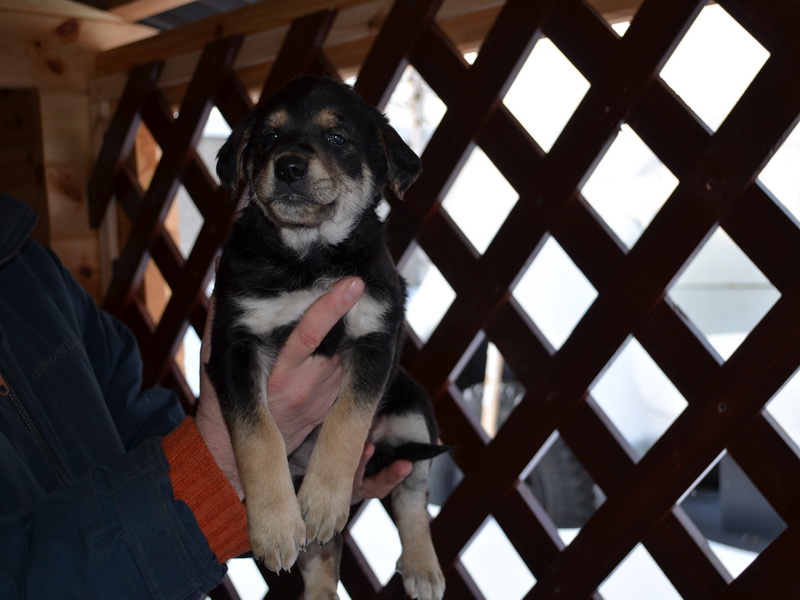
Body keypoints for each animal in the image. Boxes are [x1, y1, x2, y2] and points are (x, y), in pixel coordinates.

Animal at [207, 75, 446, 600]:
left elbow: (347, 421)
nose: (289, 166)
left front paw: (323, 500)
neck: (308, 258)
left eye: (338, 138)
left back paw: (422, 567)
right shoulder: (234, 344)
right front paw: (275, 527)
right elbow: (259, 435)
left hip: (414, 411)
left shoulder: (376, 335)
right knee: (322, 556)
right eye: (269, 137)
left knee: (412, 497)